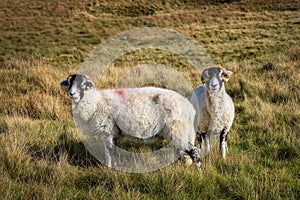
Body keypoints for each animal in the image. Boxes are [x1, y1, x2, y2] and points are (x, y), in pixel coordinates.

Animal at [60, 74, 202, 170]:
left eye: (83, 83)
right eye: (68, 83)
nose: (72, 94)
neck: (95, 102)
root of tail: (189, 107)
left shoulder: (106, 131)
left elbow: (109, 152)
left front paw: (109, 168)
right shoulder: (113, 134)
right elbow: (113, 152)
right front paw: (115, 167)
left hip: (177, 129)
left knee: (194, 151)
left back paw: (199, 172)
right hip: (179, 131)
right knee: (179, 151)